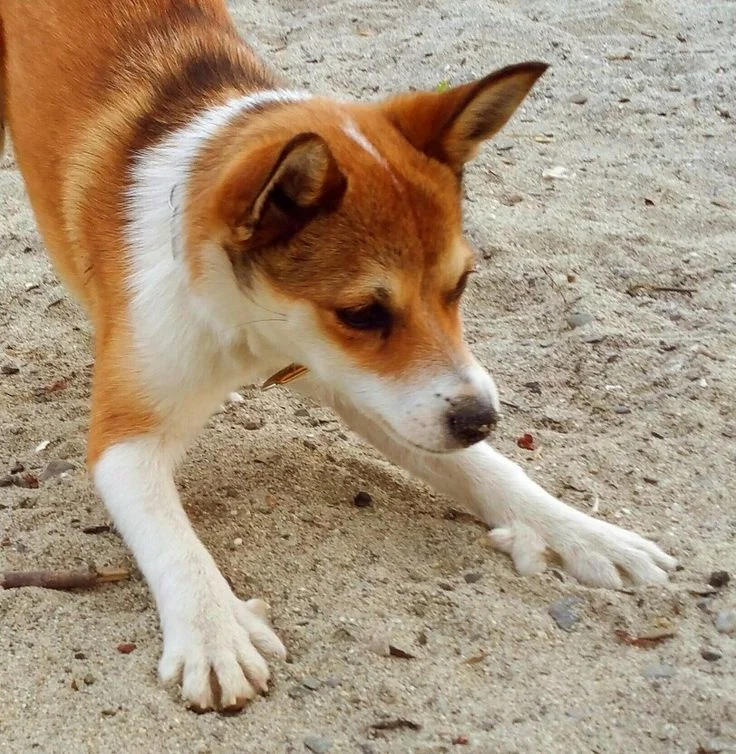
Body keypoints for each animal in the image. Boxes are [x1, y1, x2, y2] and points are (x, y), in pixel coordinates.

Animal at [1, 0, 680, 712]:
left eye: (462, 284)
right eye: (362, 314)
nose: (483, 420)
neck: (250, 326)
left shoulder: (380, 390)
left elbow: (489, 471)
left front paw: (579, 530)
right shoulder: (125, 437)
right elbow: (172, 541)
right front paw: (213, 631)